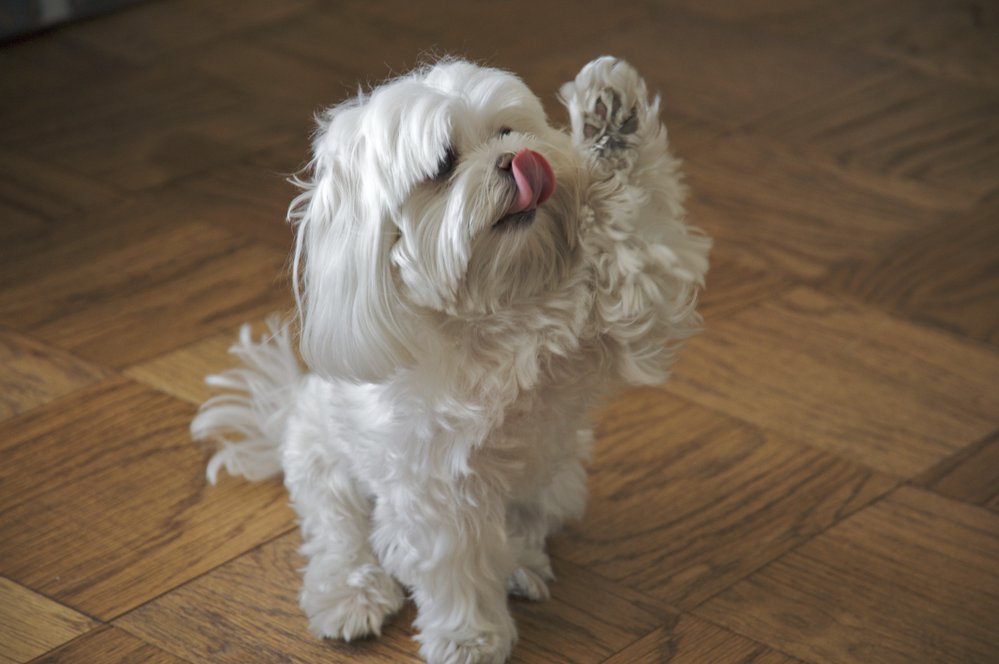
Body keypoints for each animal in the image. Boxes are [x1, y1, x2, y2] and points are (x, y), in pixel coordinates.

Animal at [193, 57, 712, 664]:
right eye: (443, 164)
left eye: (508, 130)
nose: (516, 158)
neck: (496, 308)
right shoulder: (437, 489)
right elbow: (456, 565)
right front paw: (470, 637)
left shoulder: (634, 307)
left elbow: (639, 238)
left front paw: (611, 117)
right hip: (327, 470)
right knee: (340, 537)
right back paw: (350, 595)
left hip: (557, 480)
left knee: (524, 522)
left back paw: (521, 563)